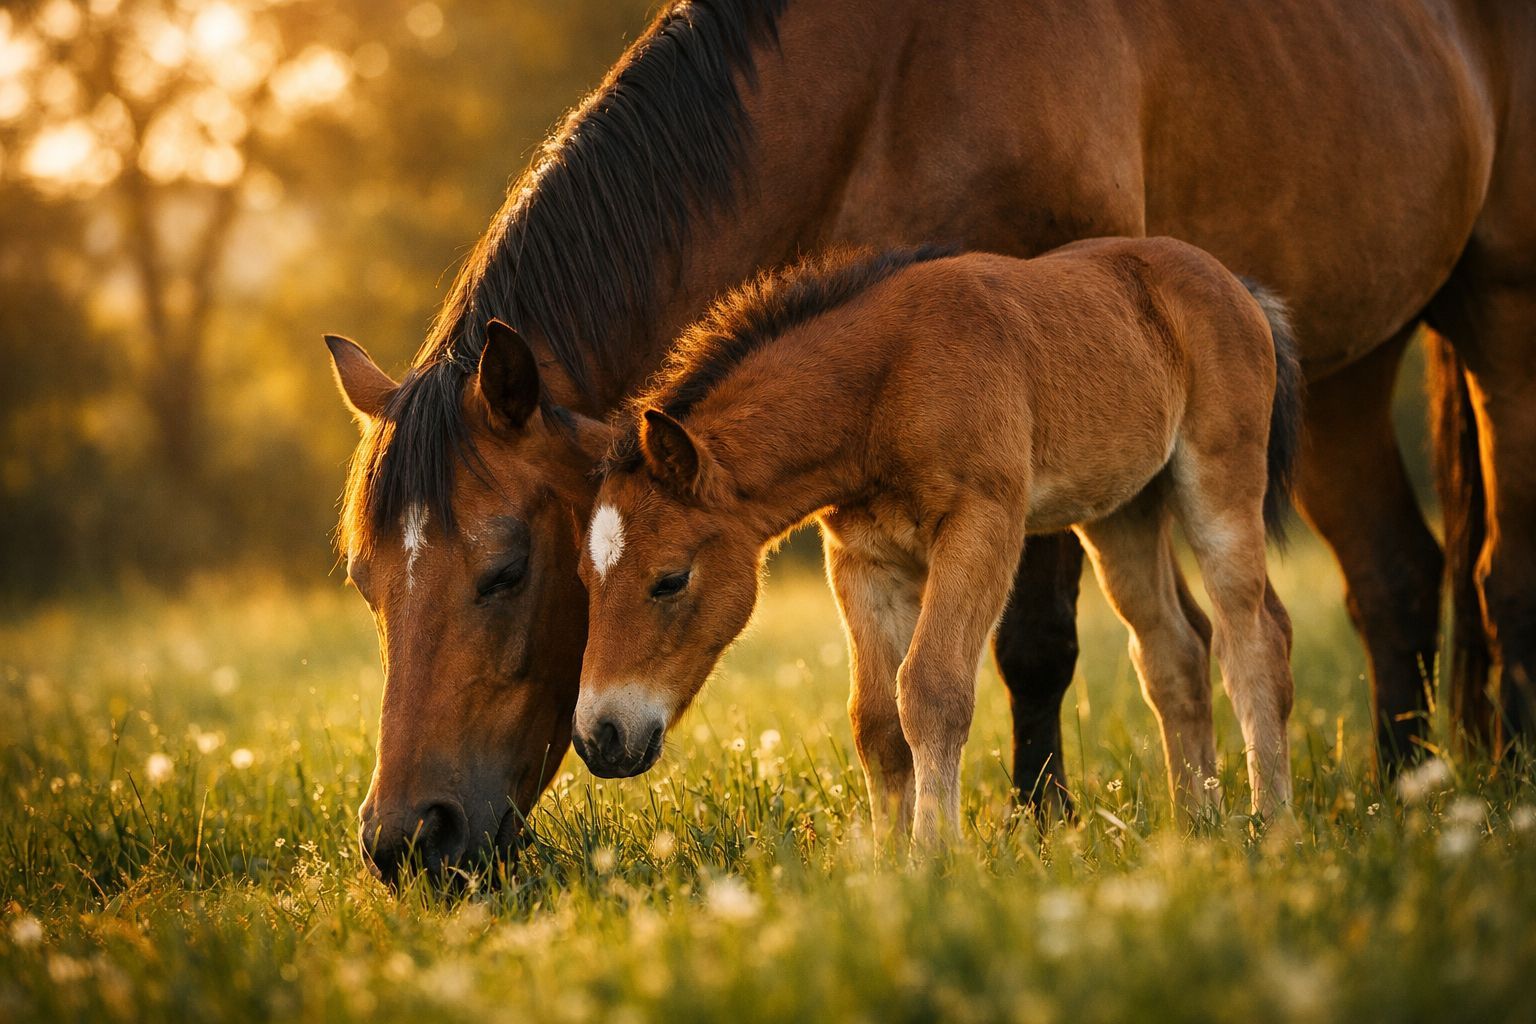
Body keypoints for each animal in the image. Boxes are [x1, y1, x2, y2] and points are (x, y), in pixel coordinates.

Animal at [572, 238, 1304, 844]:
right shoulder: (862, 559)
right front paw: (887, 865)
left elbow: (931, 689)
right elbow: (874, 720)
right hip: (1123, 512)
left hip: (1219, 479)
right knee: (1173, 652)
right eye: (585, 581)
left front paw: (935, 856)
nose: (599, 738)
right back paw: (1196, 823)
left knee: (1253, 637)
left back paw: (1270, 820)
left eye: (669, 579)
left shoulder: (982, 523)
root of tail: (1238, 285)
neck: (883, 387)